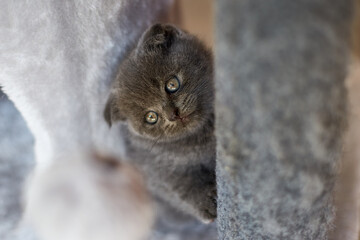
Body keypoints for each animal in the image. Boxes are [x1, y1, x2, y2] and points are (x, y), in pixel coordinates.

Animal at [104, 23, 217, 222]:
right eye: (151, 117)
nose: (173, 115)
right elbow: (181, 187)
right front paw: (208, 205)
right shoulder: (153, 168)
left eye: (172, 84)